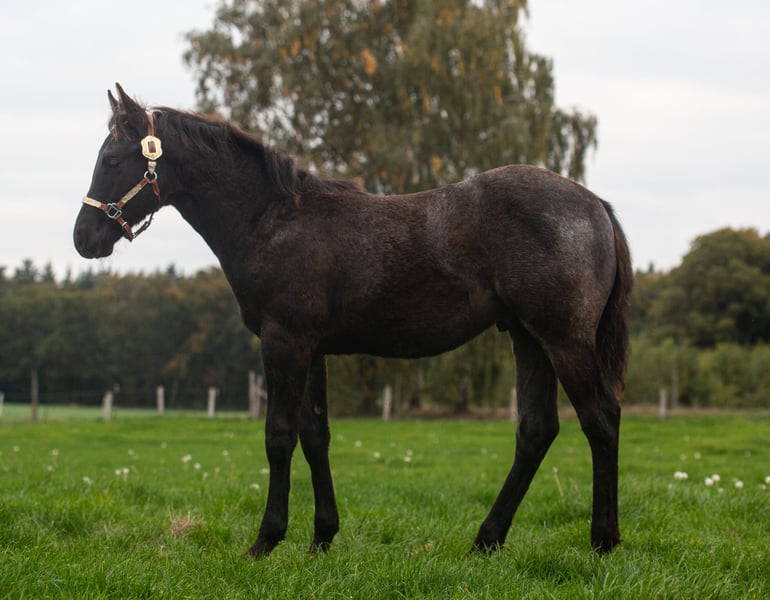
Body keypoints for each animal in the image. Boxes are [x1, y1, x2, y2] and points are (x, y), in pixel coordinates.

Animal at [74, 84, 632, 557]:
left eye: (112, 159)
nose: (84, 238)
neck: (273, 220)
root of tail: (596, 206)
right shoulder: (312, 348)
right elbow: (315, 434)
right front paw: (322, 538)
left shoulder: (284, 342)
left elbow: (279, 435)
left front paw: (266, 540)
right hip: (527, 338)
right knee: (536, 430)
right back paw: (486, 541)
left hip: (563, 340)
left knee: (600, 419)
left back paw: (602, 542)